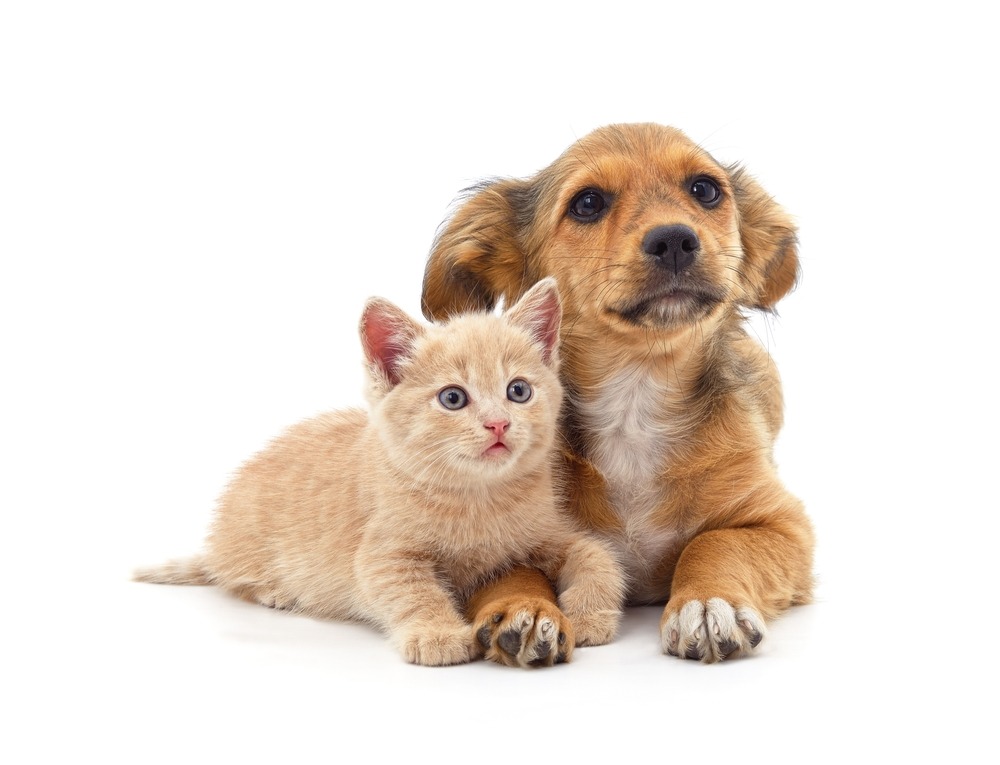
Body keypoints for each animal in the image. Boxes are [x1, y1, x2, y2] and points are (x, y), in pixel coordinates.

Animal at [134, 280, 624, 668]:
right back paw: (277, 592)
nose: (498, 424)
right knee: (234, 580)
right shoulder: (381, 552)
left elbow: (596, 555)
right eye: (452, 398)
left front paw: (590, 615)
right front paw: (436, 634)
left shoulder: (549, 531)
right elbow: (409, 589)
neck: (479, 497)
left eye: (518, 391)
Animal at [422, 122, 812, 660]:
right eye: (587, 203)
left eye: (705, 190)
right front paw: (526, 607)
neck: (635, 397)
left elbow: (715, 543)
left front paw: (707, 603)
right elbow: (510, 566)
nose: (675, 239)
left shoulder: (784, 526)